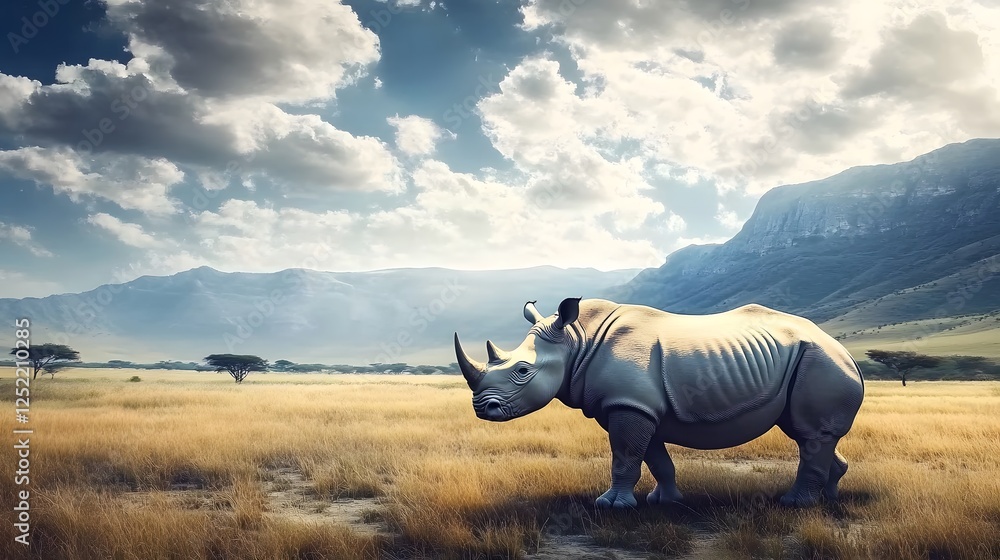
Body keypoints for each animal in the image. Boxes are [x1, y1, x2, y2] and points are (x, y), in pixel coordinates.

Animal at [454, 298, 865, 508]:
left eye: (523, 370)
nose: (482, 409)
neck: (576, 339)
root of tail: (845, 353)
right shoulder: (635, 405)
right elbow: (653, 456)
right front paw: (662, 501)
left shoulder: (628, 405)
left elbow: (625, 456)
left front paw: (611, 505)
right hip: (809, 361)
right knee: (808, 435)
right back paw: (830, 498)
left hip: (821, 361)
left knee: (812, 433)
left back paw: (795, 505)